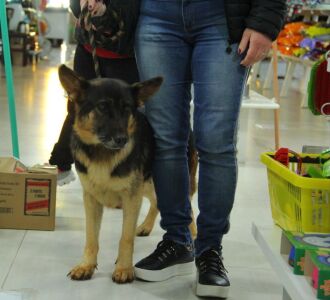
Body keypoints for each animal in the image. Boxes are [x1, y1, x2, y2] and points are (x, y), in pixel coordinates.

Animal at [57, 63, 196, 284]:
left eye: (127, 109)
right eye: (102, 107)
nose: (122, 139)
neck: (103, 153)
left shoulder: (131, 197)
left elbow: (125, 237)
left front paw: (123, 268)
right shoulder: (92, 199)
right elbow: (91, 237)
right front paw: (87, 265)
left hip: (164, 181)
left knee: (187, 207)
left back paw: (192, 233)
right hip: (146, 184)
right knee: (157, 201)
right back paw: (146, 226)